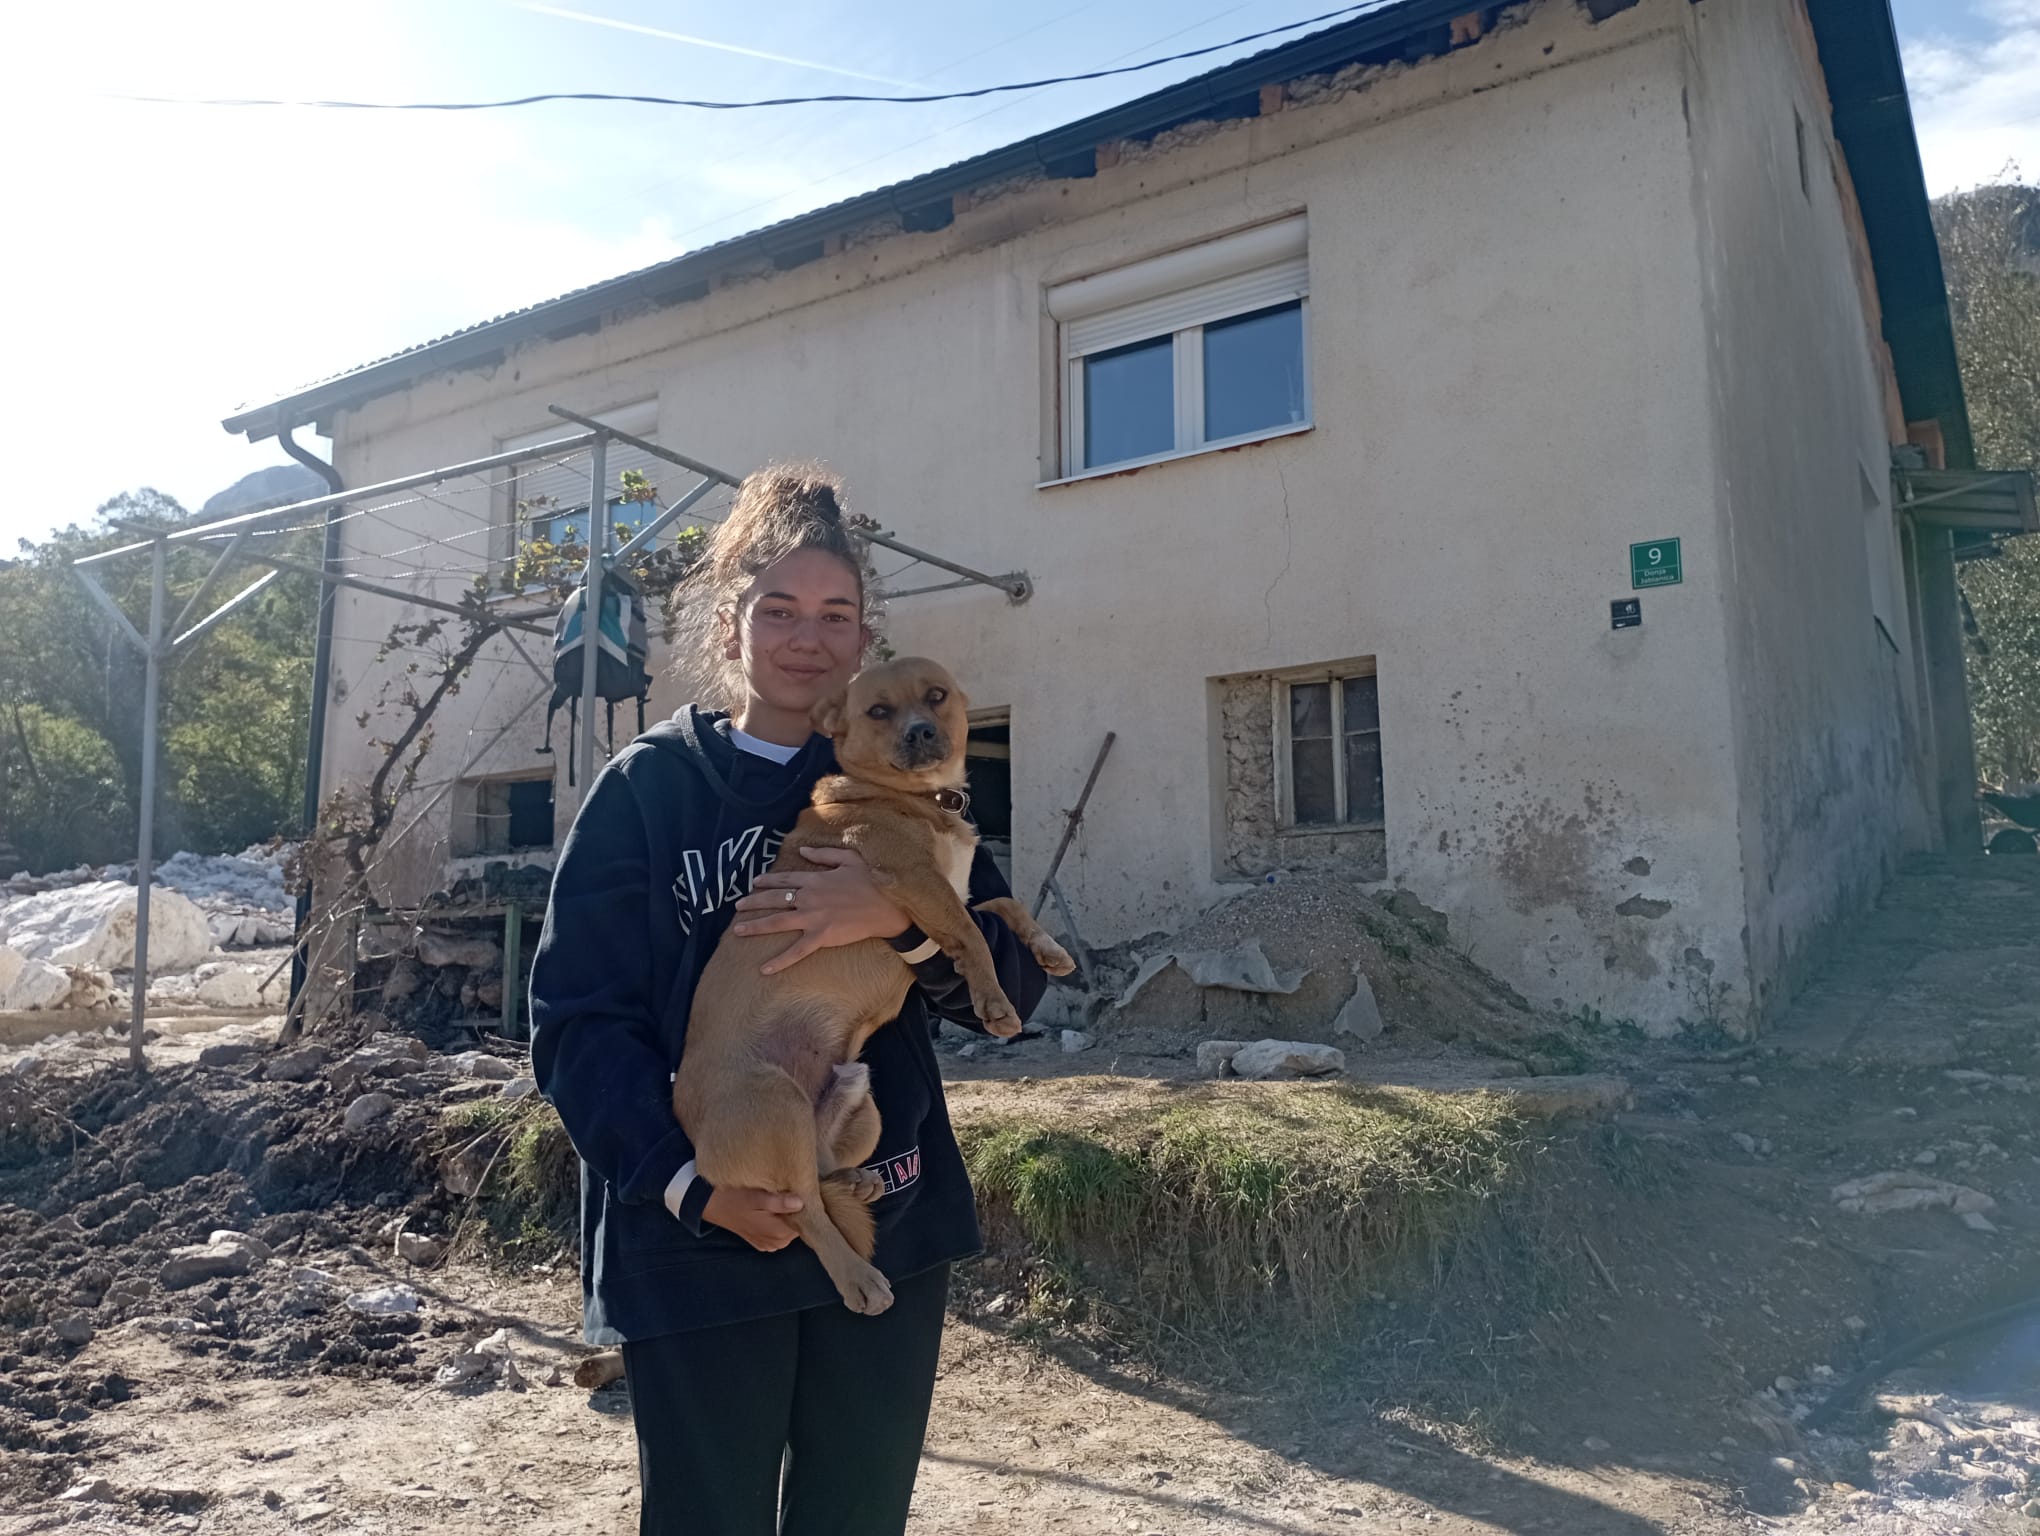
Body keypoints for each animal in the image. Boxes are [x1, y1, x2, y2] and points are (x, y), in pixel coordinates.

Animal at [673, 652, 1085, 1313]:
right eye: (878, 711)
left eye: (936, 695)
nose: (919, 732)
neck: (917, 798)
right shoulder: (917, 882)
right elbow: (972, 934)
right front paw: (994, 1002)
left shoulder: (955, 892)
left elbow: (1004, 906)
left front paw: (1049, 950)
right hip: (777, 1105)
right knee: (805, 1215)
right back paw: (857, 1277)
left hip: (861, 1108)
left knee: (815, 1182)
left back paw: (856, 1181)